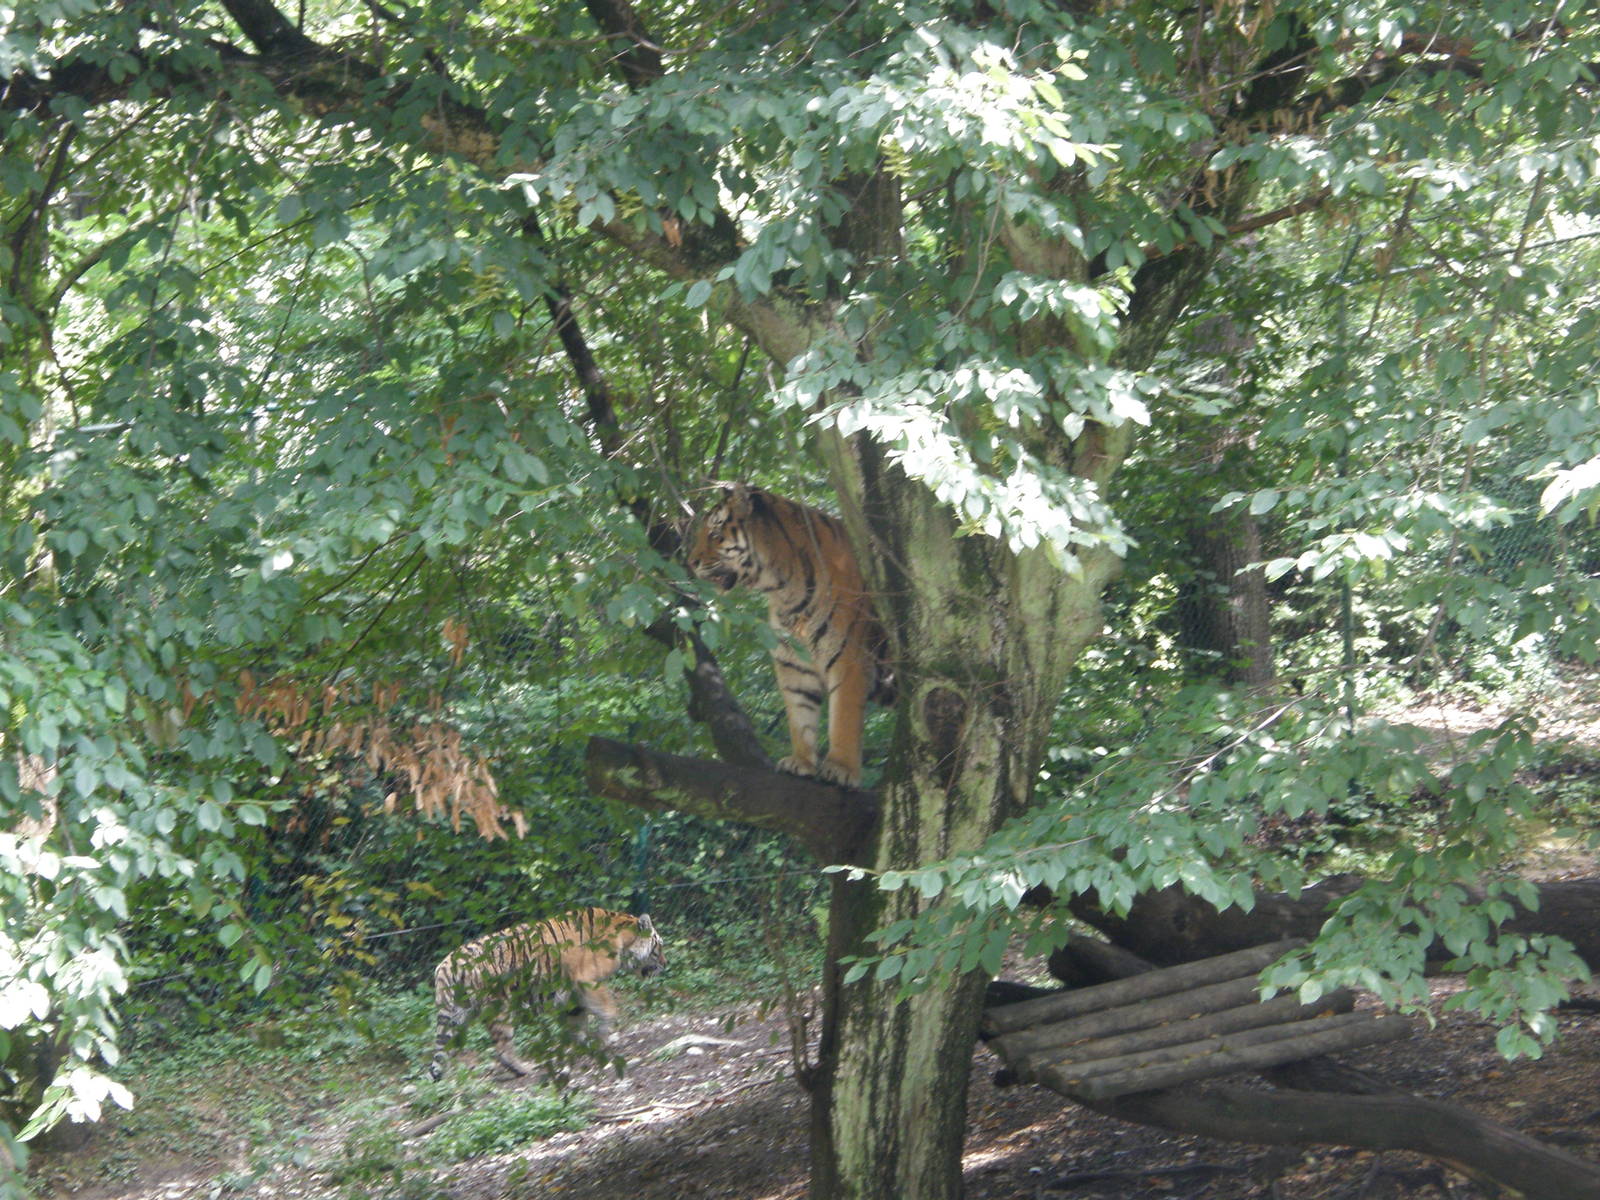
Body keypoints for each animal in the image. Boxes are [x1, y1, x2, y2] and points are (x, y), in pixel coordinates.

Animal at [428, 908, 665, 1081]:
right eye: (659, 946)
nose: (665, 964)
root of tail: (445, 964)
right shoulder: (587, 981)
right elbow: (608, 1010)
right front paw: (602, 1039)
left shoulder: (574, 993)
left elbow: (578, 1022)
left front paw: (581, 1046)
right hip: (499, 1007)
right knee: (503, 1048)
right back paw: (525, 1069)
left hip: (457, 1015)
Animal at [687, 483, 895, 787]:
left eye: (715, 534)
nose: (691, 562)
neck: (781, 587)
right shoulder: (793, 660)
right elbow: (800, 714)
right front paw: (800, 762)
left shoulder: (849, 659)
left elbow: (843, 718)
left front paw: (840, 769)